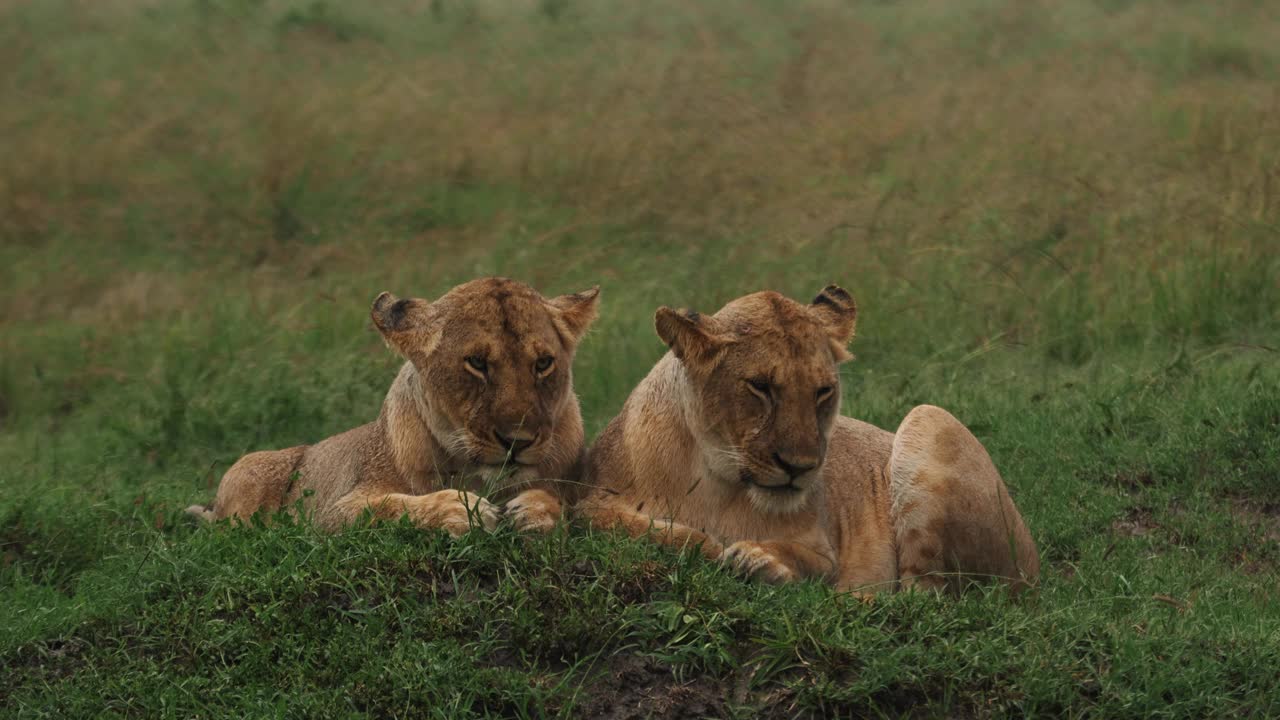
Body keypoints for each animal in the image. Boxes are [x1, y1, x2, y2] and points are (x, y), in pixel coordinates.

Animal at [188, 278, 599, 535]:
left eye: (543, 363)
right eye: (477, 363)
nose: (518, 441)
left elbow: (562, 504)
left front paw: (534, 510)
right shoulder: (331, 513)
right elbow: (387, 507)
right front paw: (461, 510)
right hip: (250, 469)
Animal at [583, 285, 1039, 594]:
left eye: (823, 391)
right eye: (760, 386)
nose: (798, 467)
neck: (717, 481)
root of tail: (1035, 564)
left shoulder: (823, 547)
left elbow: (814, 561)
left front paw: (759, 558)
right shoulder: (592, 497)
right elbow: (624, 524)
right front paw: (709, 545)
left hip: (929, 417)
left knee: (925, 599)